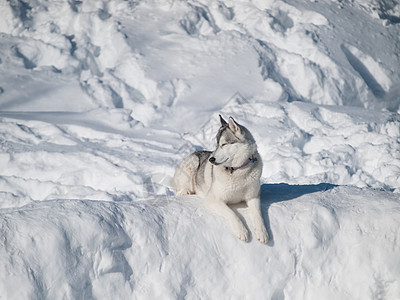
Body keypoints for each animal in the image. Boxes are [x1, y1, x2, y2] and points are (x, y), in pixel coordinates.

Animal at [173, 115, 268, 244]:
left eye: (224, 144)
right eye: (216, 145)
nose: (211, 159)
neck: (236, 171)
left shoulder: (253, 197)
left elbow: (258, 215)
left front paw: (262, 232)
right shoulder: (214, 199)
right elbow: (232, 213)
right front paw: (242, 231)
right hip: (193, 162)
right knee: (180, 190)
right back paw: (185, 191)